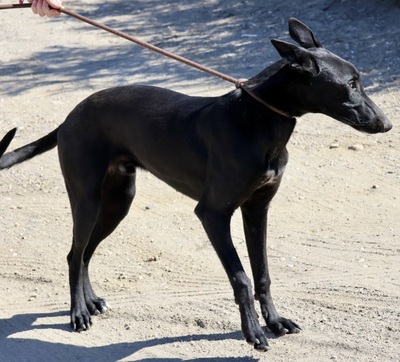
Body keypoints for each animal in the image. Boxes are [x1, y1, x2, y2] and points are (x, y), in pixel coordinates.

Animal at [0, 18, 390, 350]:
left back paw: (91, 301)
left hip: (118, 201)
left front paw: (275, 322)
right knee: (73, 253)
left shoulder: (257, 210)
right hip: (87, 199)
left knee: (85, 253)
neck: (259, 119)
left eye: (359, 79)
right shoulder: (213, 214)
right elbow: (241, 277)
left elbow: (262, 273)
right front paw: (253, 332)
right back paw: (78, 312)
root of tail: (70, 117)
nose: (386, 124)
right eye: (350, 84)